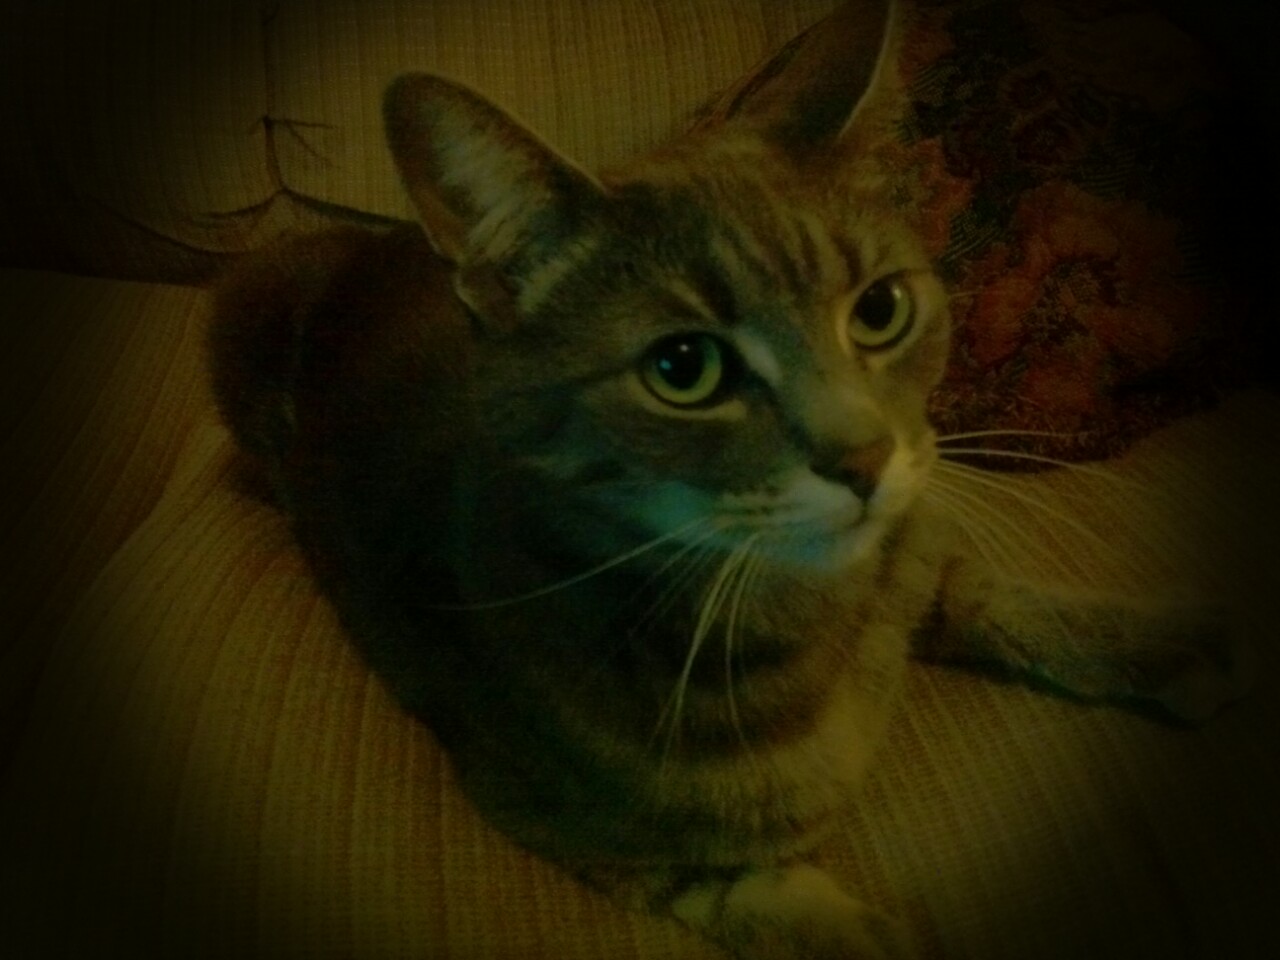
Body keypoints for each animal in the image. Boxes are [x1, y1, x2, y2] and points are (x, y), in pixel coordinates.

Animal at [209, 1, 1249, 960]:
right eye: (684, 370)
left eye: (881, 309)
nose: (864, 462)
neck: (819, 627)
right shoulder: (600, 838)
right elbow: (787, 913)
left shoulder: (916, 549)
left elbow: (1001, 596)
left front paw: (1170, 643)